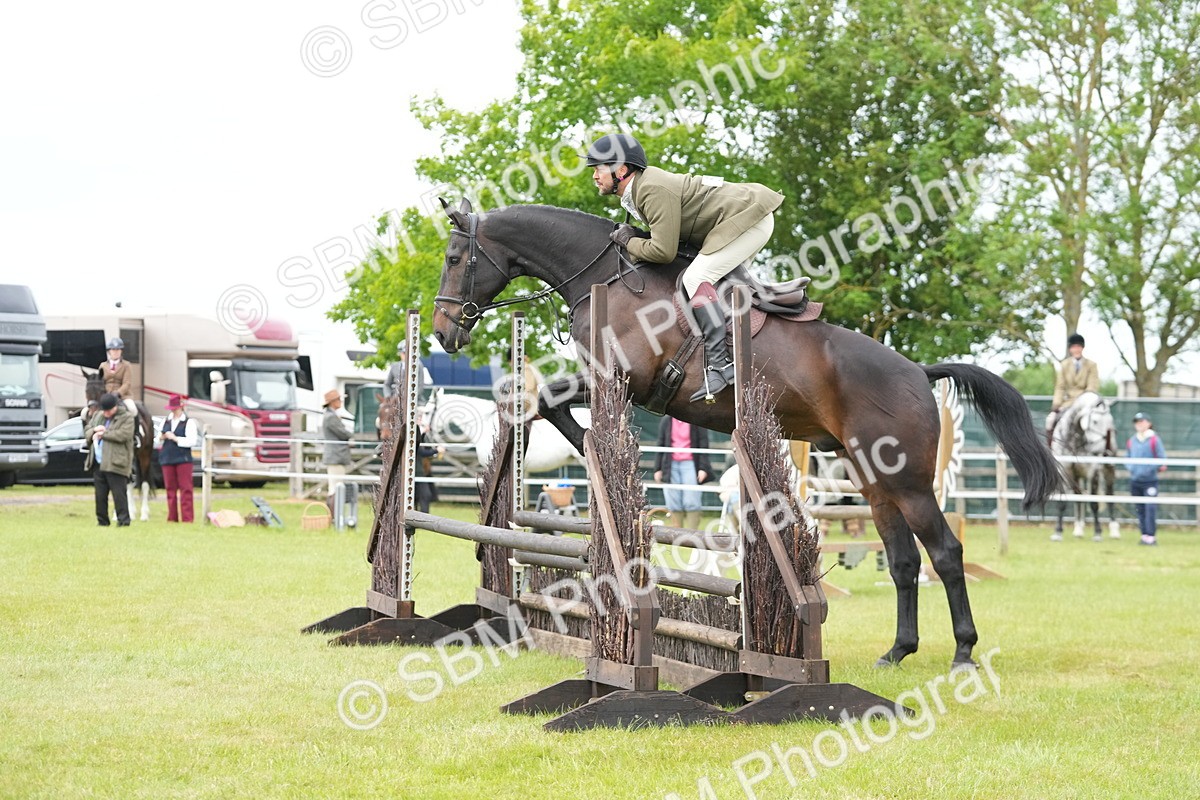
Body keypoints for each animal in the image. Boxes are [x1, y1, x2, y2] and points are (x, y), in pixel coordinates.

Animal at [431, 198, 1064, 669]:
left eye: (455, 256)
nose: (442, 332)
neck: (603, 277)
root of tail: (917, 371)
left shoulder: (623, 379)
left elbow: (551, 399)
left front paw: (587, 445)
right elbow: (538, 399)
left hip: (908, 481)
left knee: (946, 553)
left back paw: (962, 653)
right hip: (872, 479)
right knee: (904, 559)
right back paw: (897, 652)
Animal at [1051, 391, 1120, 541]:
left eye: (1110, 422)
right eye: (1095, 421)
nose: (1102, 451)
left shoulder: (1093, 472)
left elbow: (1094, 503)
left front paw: (1098, 533)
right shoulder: (1065, 471)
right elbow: (1062, 502)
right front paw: (1058, 532)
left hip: (1109, 471)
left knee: (1110, 495)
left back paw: (1114, 530)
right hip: (1076, 476)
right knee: (1078, 497)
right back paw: (1078, 529)